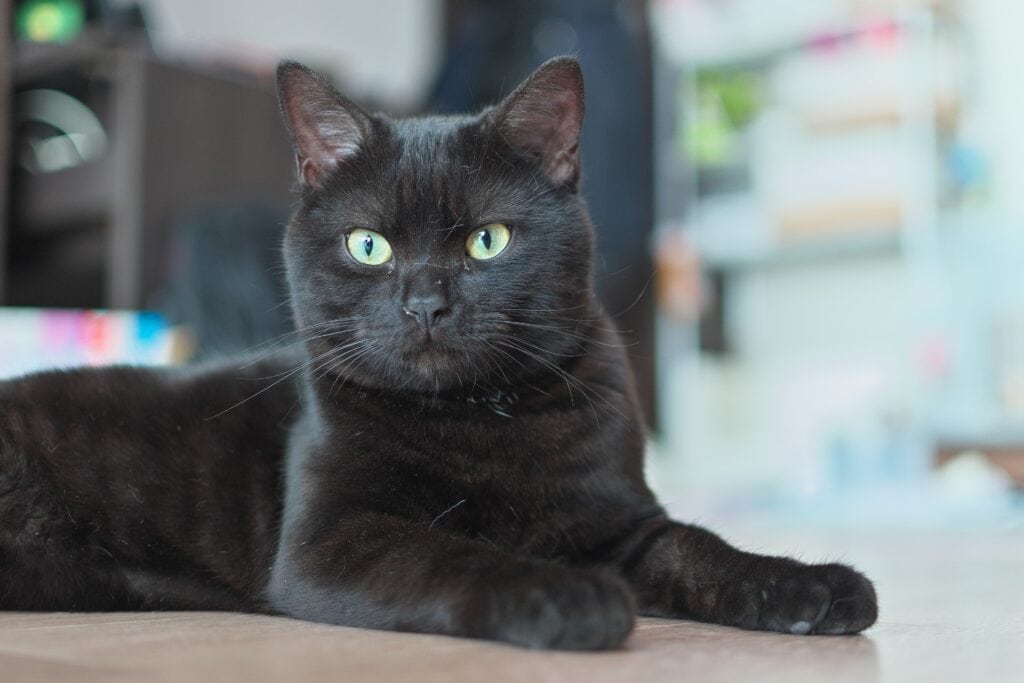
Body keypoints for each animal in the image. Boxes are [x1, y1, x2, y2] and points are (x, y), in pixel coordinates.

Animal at [0, 57, 876, 647]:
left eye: (488, 240)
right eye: (368, 245)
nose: (425, 303)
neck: (482, 418)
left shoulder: (620, 521)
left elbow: (699, 544)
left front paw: (810, 584)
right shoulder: (331, 539)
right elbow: (451, 553)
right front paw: (563, 595)